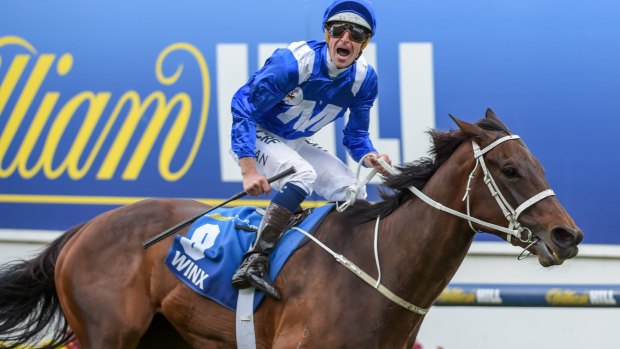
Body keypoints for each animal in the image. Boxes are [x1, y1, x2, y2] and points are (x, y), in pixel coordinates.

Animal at [0, 108, 580, 346]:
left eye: (539, 165)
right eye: (509, 170)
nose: (567, 236)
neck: (379, 271)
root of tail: (83, 230)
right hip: (108, 334)